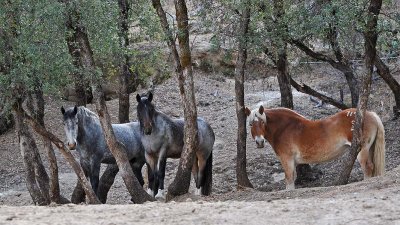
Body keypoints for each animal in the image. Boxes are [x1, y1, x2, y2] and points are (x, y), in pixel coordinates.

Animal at [245, 106, 386, 190]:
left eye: (262, 122)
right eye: (250, 124)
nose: (259, 142)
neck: (285, 128)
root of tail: (369, 114)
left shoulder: (287, 159)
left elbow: (289, 180)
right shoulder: (292, 162)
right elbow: (293, 178)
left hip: (362, 150)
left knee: (368, 167)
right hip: (370, 149)